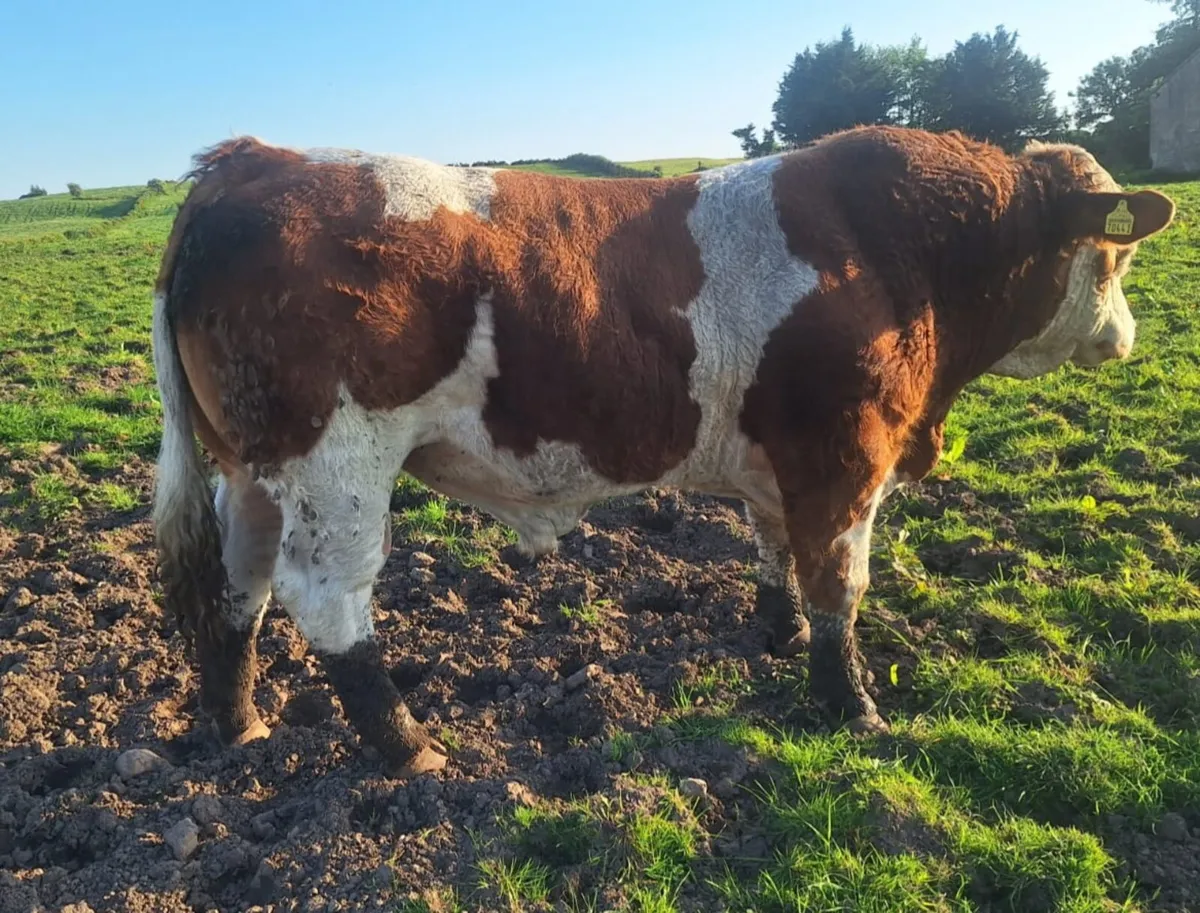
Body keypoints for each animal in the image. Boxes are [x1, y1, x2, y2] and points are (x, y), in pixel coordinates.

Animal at [151, 126, 1175, 777]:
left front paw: (777, 631)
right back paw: (409, 744)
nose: (1126, 337)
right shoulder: (846, 456)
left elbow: (775, 549)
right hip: (337, 462)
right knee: (325, 597)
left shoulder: (782, 461)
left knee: (239, 584)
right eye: (1116, 257)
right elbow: (839, 584)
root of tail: (251, 160)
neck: (892, 252)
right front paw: (851, 705)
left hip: (252, 470)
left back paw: (240, 722)